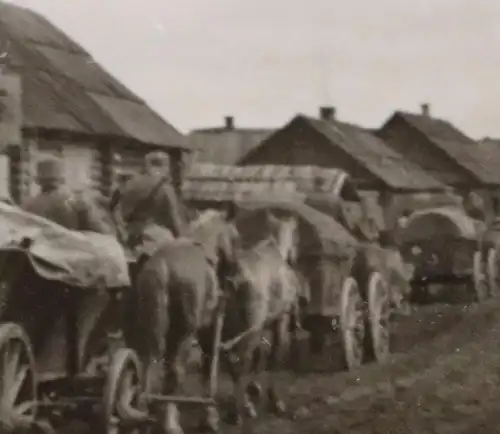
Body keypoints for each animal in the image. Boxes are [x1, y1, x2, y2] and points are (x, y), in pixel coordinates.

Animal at [127, 209, 240, 432]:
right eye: (236, 237)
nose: (233, 278)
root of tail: (164, 269)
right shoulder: (207, 329)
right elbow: (208, 367)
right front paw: (210, 417)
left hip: (152, 329)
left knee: (149, 363)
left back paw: (142, 408)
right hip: (185, 332)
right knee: (175, 371)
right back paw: (170, 422)